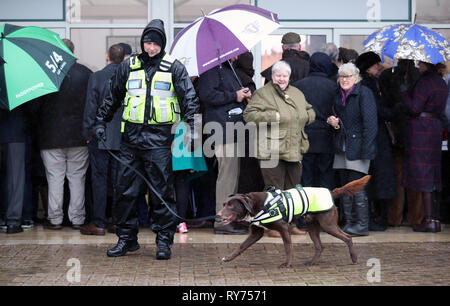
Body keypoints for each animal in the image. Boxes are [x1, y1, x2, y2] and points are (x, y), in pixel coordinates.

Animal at [216, 176, 370, 266]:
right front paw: (228, 258)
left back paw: (354, 258)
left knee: (348, 238)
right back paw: (311, 262)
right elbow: (241, 247)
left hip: (328, 225)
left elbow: (288, 247)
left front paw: (287, 264)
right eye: (224, 204)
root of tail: (331, 192)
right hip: (313, 227)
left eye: (231, 206)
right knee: (320, 246)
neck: (256, 206)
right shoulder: (256, 233)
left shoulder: (284, 228)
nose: (217, 215)